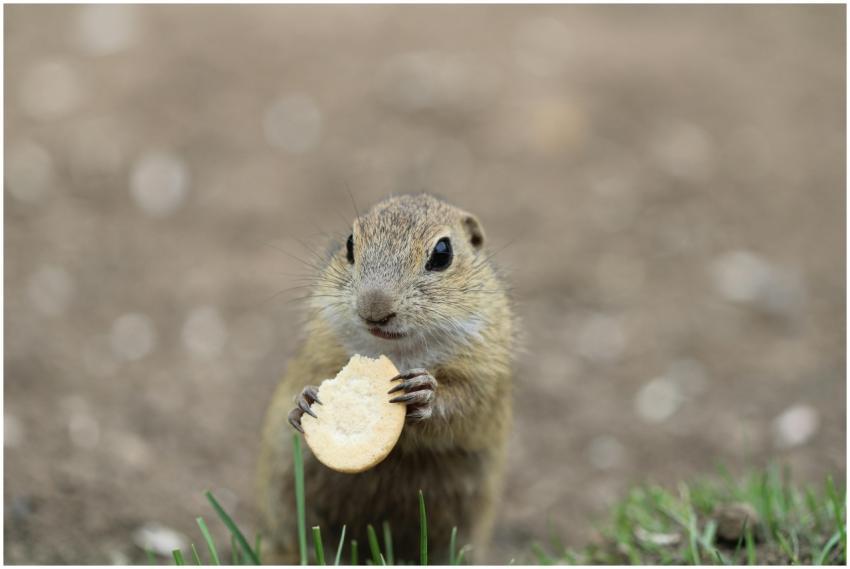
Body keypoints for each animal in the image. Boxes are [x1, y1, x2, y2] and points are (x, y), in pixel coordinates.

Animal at [257, 194, 515, 564]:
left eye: (443, 253)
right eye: (350, 244)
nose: (373, 309)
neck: (397, 351)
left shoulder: (485, 373)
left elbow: (465, 404)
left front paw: (426, 393)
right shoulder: (320, 347)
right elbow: (309, 375)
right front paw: (304, 402)